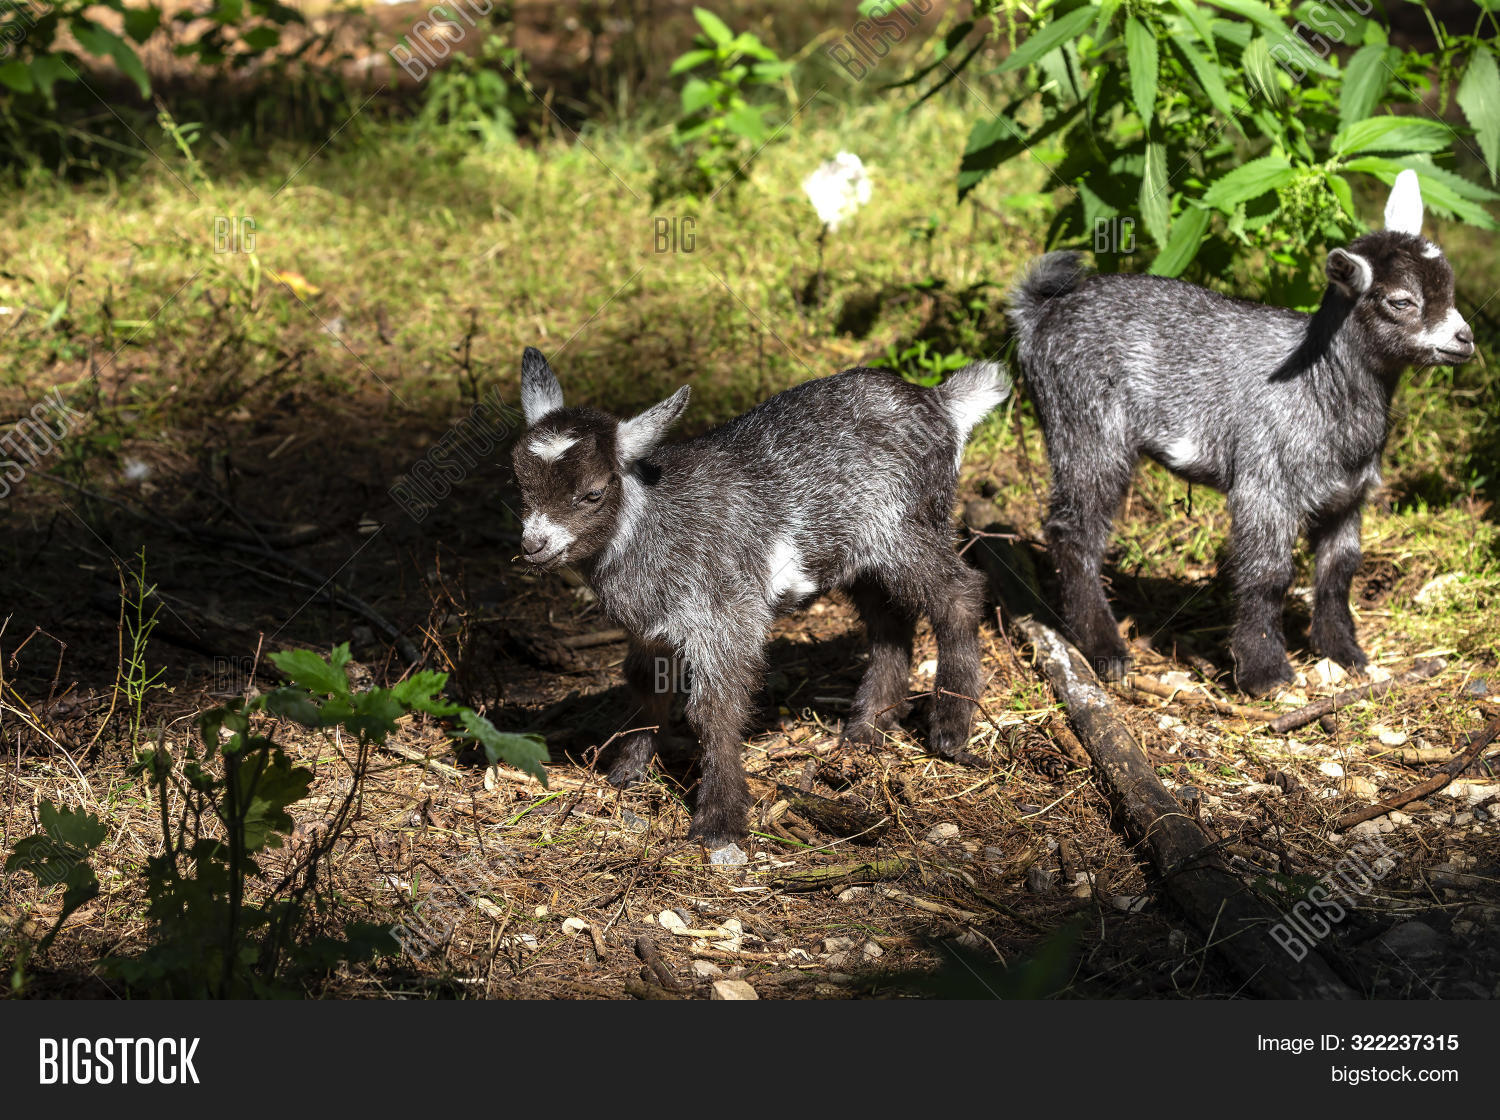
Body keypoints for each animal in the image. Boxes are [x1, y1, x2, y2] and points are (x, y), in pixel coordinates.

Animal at [511, 349, 1008, 847]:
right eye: (520, 483)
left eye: (593, 492)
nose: (533, 545)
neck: (652, 523)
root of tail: (941, 401)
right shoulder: (650, 630)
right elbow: (644, 683)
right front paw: (628, 770)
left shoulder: (727, 616)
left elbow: (714, 709)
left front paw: (720, 821)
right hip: (857, 552)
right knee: (890, 620)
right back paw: (867, 728)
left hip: (907, 527)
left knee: (959, 594)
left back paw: (950, 728)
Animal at [1007, 170, 1475, 695]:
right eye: (1401, 301)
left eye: (1450, 287)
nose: (1465, 339)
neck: (1318, 385)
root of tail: (1038, 318)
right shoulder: (1264, 485)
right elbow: (1266, 574)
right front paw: (1265, 672)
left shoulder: (1347, 496)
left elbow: (1339, 570)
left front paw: (1344, 652)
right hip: (1085, 426)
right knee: (1074, 531)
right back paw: (1106, 649)